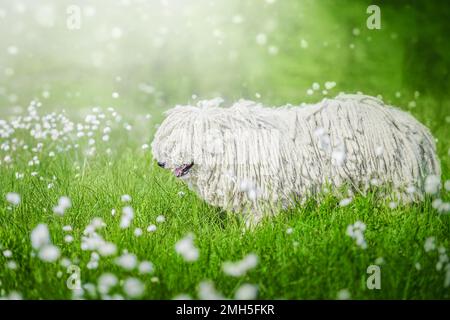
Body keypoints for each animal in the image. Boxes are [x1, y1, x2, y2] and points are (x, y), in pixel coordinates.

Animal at [151, 93, 440, 225]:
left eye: (179, 140)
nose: (160, 163)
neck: (234, 145)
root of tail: (412, 127)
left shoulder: (263, 192)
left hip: (395, 179)